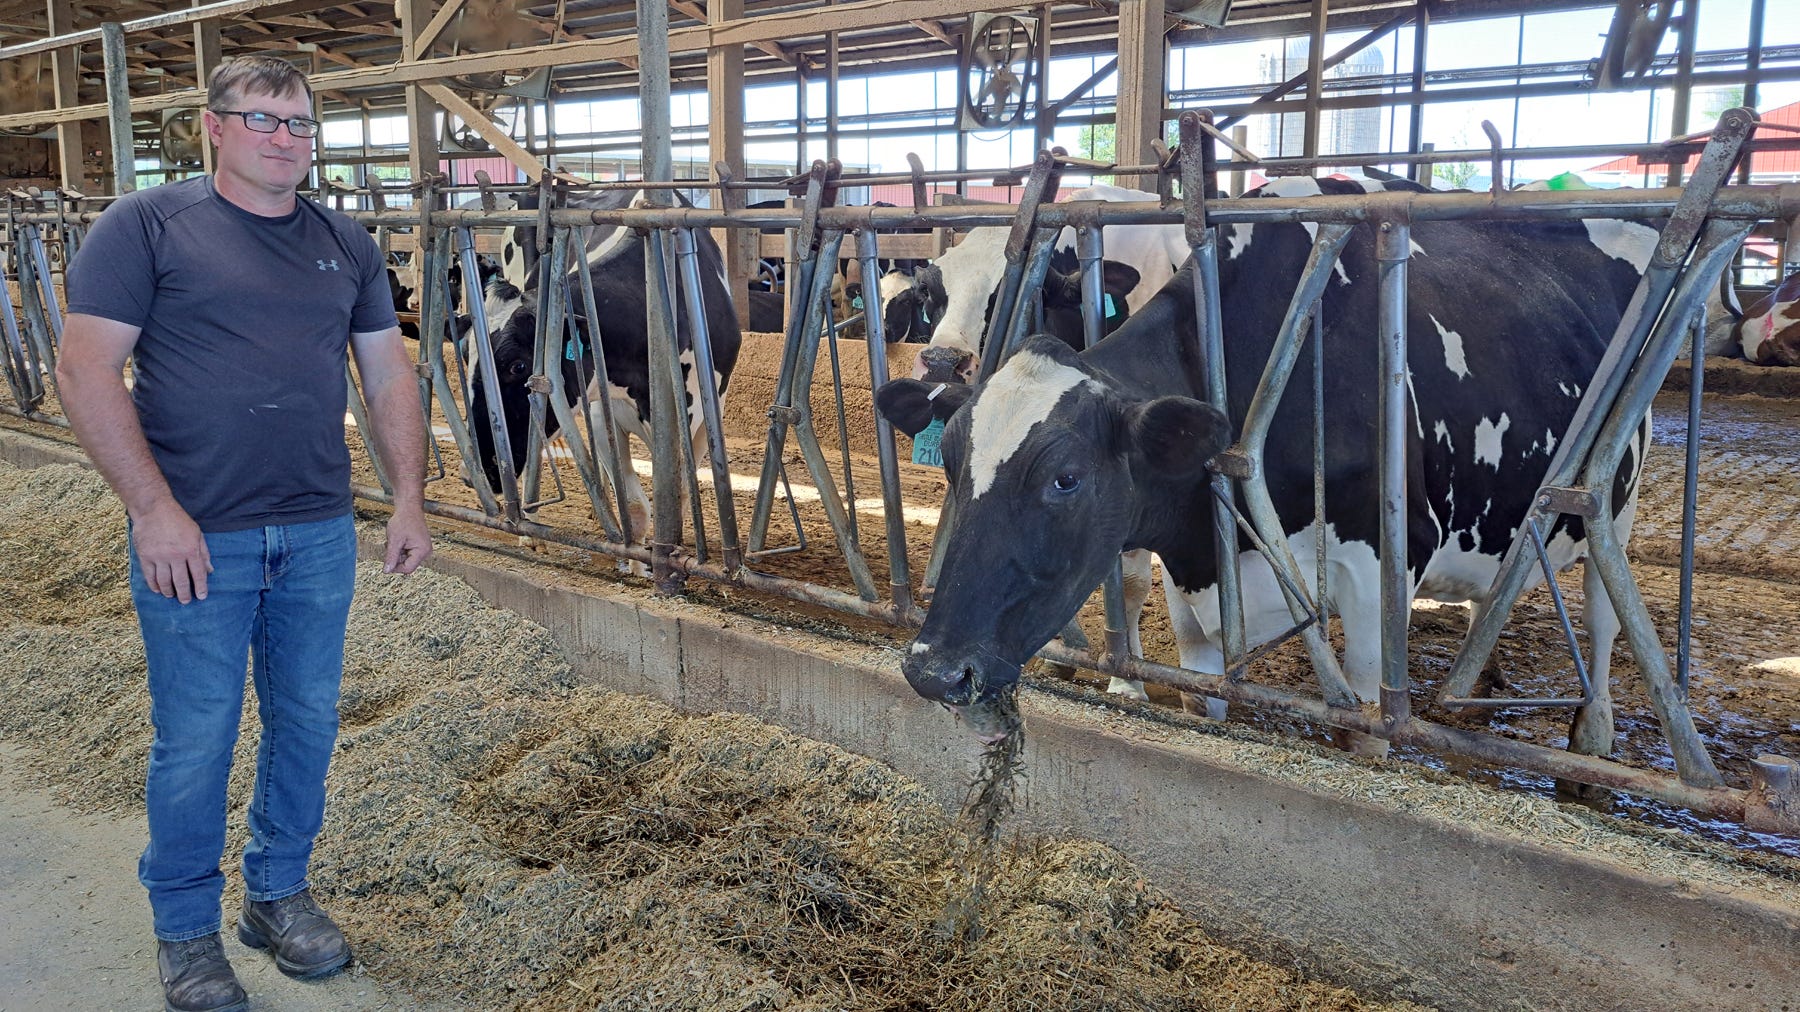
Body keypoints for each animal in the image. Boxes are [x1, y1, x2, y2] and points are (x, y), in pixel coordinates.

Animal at [471, 188, 745, 551]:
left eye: (518, 365)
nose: (475, 471)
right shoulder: (603, 414)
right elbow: (635, 507)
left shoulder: (705, 418)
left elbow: (684, 493)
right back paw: (529, 529)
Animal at [878, 175, 1648, 756]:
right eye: (952, 461)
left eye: (1066, 478)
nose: (931, 668)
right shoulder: (1193, 572)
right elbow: (1195, 681)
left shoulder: (1383, 568)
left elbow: (1366, 722)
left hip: (1611, 497)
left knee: (1605, 614)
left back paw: (1591, 739)